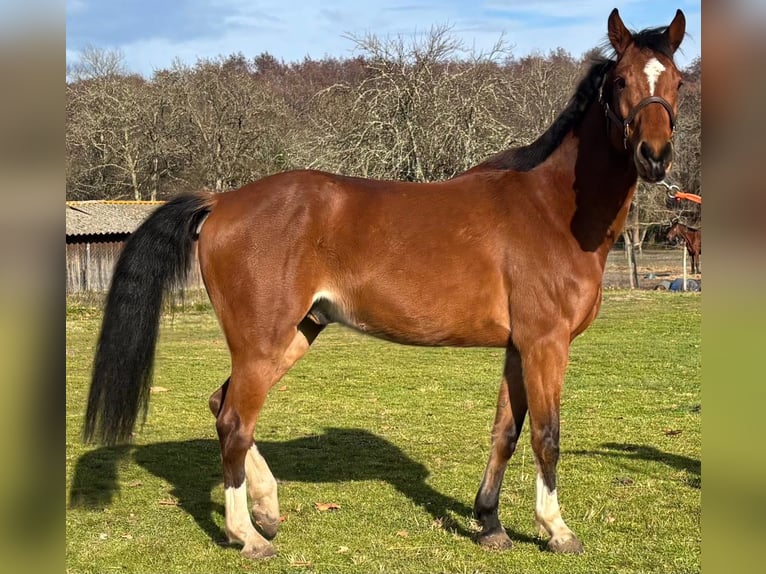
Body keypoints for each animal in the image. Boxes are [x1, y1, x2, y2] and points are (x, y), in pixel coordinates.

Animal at [83, 8, 686, 560]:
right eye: (621, 81)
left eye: (678, 82)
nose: (655, 157)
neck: (552, 209)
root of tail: (223, 200)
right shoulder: (546, 344)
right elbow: (547, 434)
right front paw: (556, 531)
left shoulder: (519, 347)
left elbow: (506, 433)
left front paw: (489, 523)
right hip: (261, 341)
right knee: (234, 420)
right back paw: (247, 535)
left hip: (296, 333)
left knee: (222, 405)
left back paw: (268, 508)